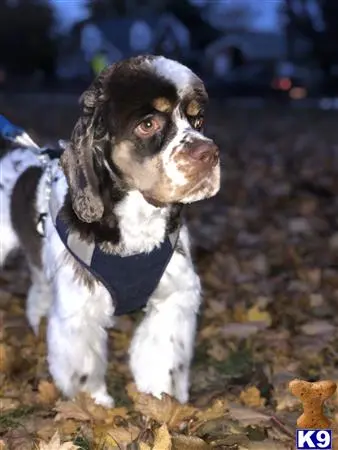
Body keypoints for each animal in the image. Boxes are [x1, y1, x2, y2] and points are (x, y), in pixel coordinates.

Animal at [0, 54, 220, 406]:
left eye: (197, 121)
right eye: (148, 124)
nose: (209, 153)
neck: (137, 223)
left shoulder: (173, 296)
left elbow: (163, 355)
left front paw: (161, 397)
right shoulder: (79, 306)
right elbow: (83, 366)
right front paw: (96, 404)